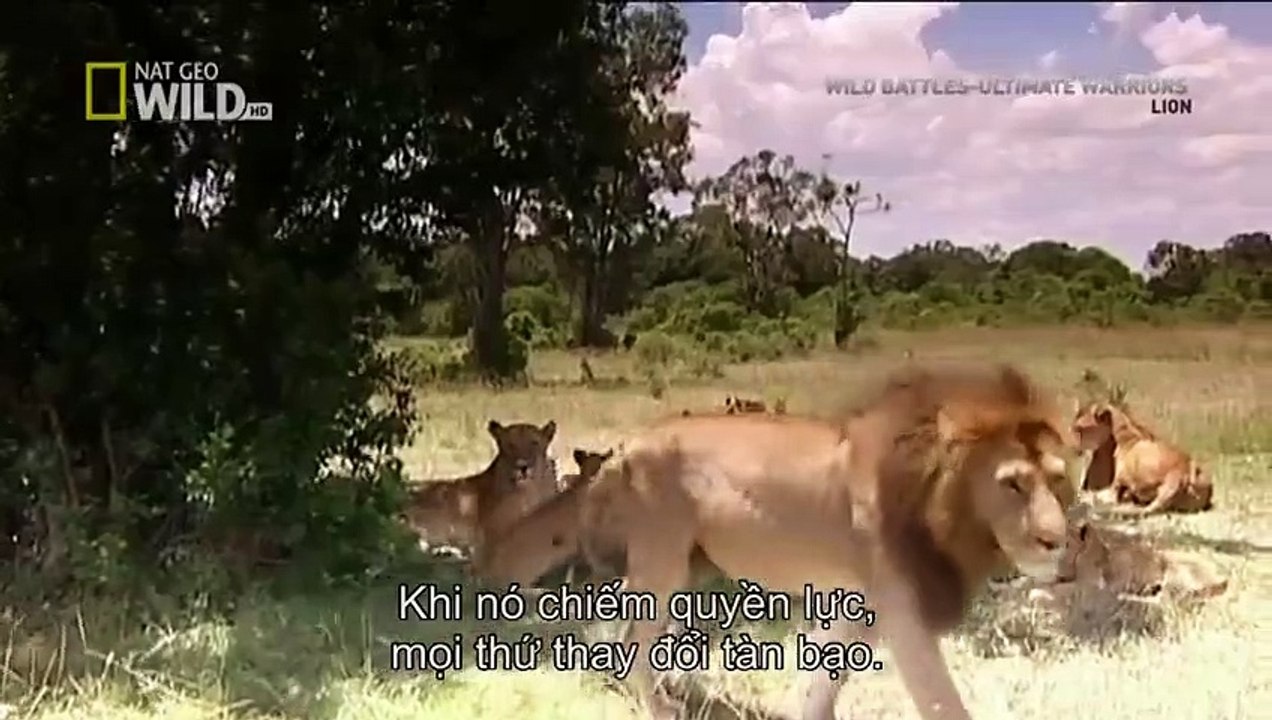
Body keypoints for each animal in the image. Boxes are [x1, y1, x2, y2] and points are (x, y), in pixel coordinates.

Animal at [580, 363, 1077, 720]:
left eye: (1056, 479)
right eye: (1012, 484)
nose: (1057, 540)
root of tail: (632, 442)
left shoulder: (860, 603)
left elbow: (823, 680)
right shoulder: (903, 611)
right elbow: (942, 701)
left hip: (685, 561)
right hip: (662, 556)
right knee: (635, 632)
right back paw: (658, 706)